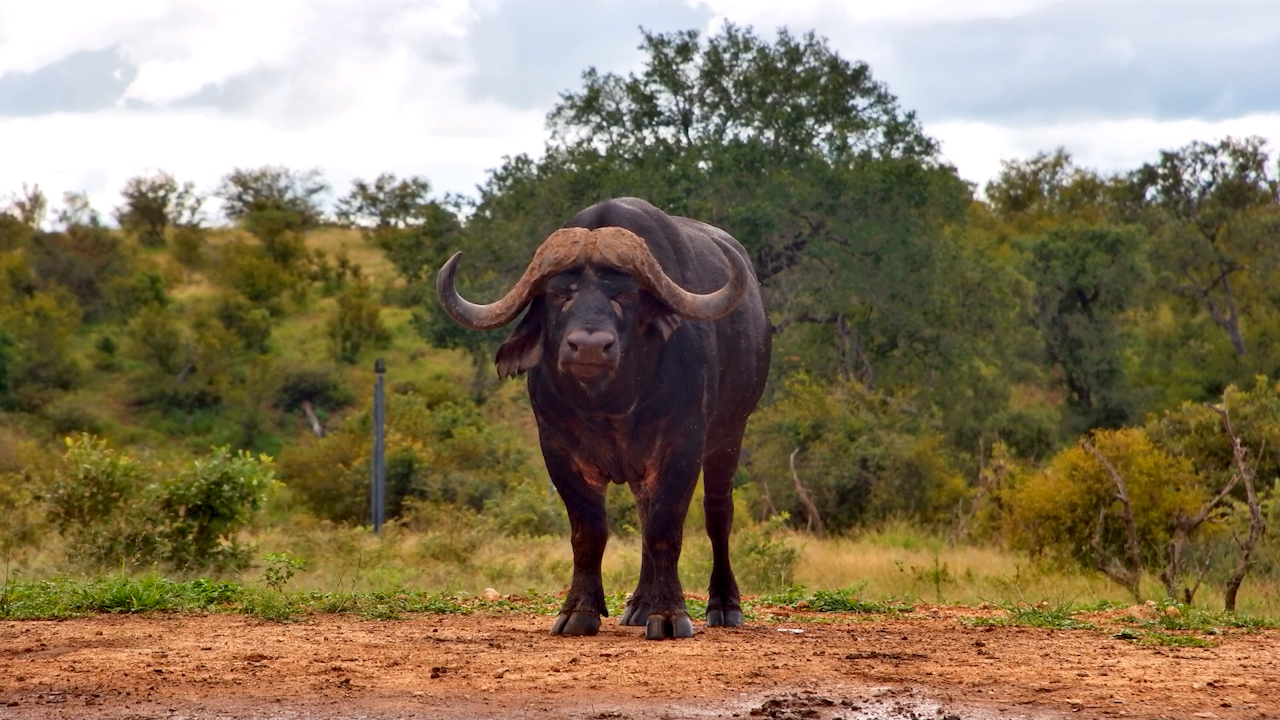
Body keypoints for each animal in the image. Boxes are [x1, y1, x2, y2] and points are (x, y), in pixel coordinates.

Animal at [436, 197, 770, 639]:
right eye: (559, 295)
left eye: (624, 294)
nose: (590, 346)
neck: (611, 404)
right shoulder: (558, 449)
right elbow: (589, 532)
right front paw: (579, 611)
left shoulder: (683, 444)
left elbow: (666, 528)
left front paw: (669, 614)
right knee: (645, 514)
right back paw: (640, 605)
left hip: (731, 434)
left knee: (718, 514)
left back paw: (724, 605)